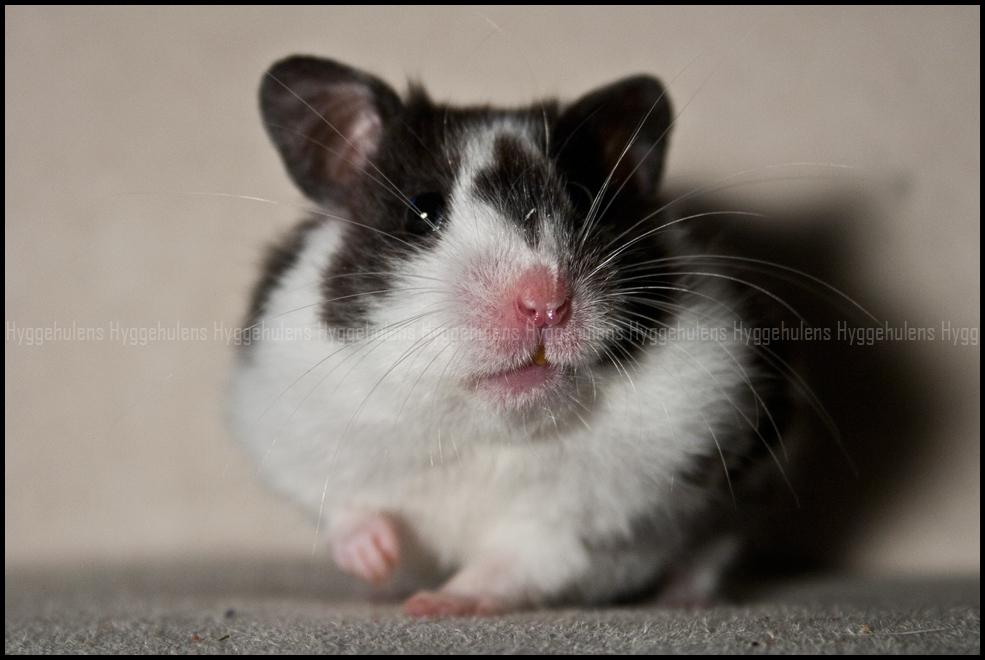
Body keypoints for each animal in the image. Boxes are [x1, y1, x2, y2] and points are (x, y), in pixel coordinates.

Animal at [228, 55, 789, 616]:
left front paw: (432, 605)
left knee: (714, 550)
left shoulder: (580, 523)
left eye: (583, 200)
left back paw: (685, 599)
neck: (485, 429)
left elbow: (517, 564)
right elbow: (346, 511)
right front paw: (378, 560)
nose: (545, 303)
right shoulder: (297, 430)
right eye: (422, 210)